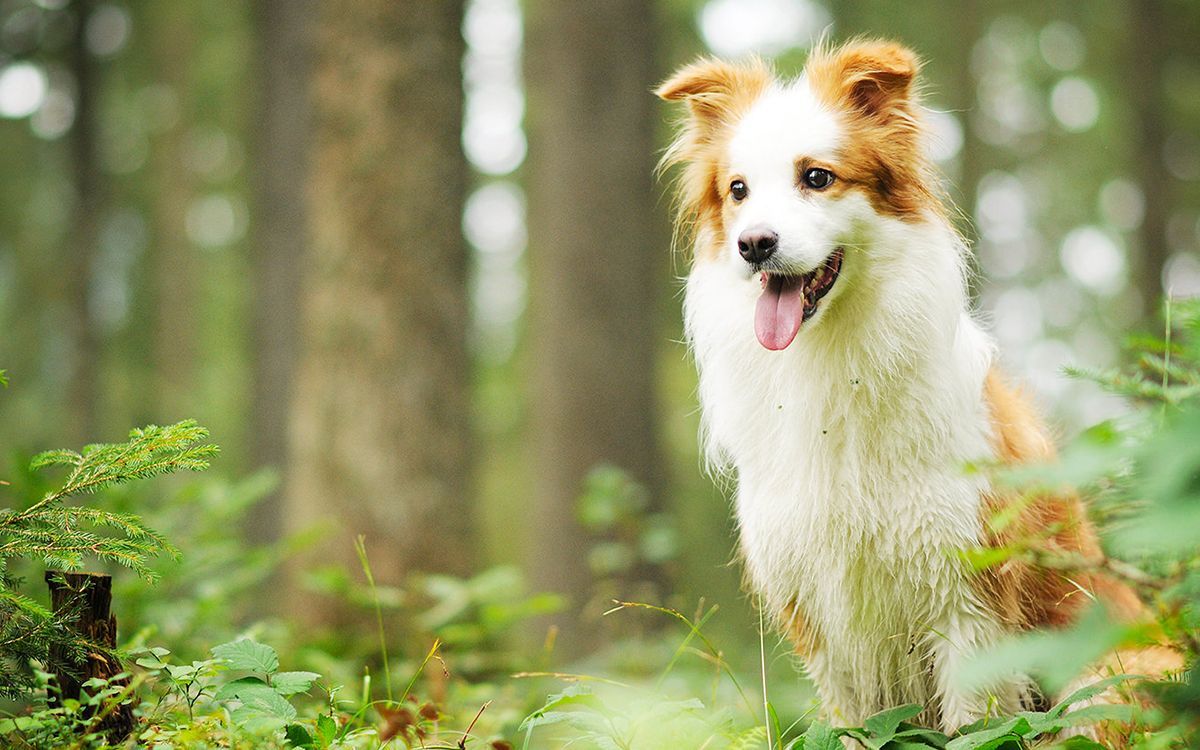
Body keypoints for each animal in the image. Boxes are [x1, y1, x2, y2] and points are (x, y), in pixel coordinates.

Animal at [652, 40, 1176, 739]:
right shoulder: (820, 614)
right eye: (737, 189)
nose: (753, 244)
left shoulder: (967, 599)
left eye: (816, 177)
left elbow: (975, 731)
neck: (830, 362)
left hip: (1107, 677)